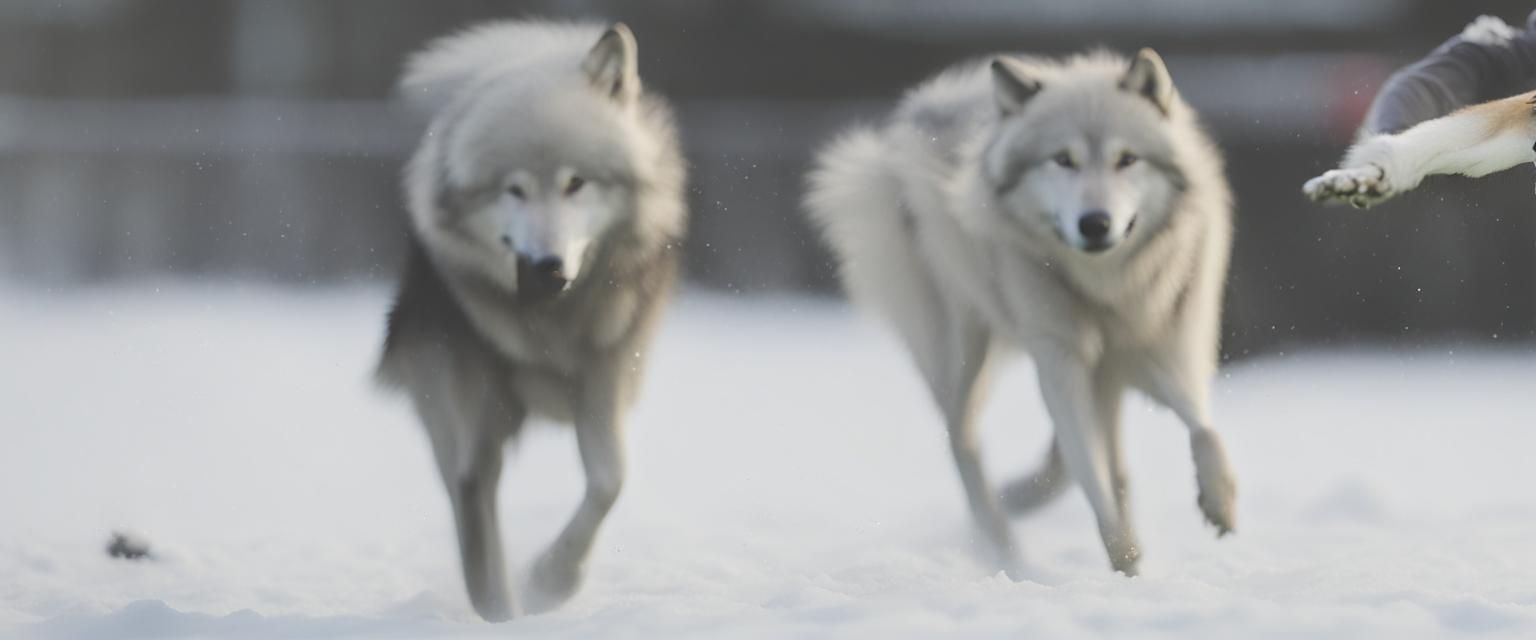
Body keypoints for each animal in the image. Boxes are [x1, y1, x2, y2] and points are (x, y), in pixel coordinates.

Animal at [376, 21, 686, 620]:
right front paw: (498, 608)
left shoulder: (607, 376)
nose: (547, 267)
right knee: (464, 484)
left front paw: (552, 580)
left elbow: (609, 482)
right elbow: (473, 488)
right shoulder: (469, 399)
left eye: (575, 183)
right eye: (513, 189)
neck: (550, 325)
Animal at [806, 49, 1237, 576]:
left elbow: (1202, 428)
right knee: (963, 442)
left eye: (1127, 159)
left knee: (1081, 457)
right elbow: (1095, 479)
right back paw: (1006, 553)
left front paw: (1220, 505)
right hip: (966, 354)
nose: (1095, 224)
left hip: (1091, 372)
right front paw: (1123, 560)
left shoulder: (1166, 345)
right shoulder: (1062, 362)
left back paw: (1023, 499)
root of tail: (913, 117)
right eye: (1063, 160)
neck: (1109, 288)